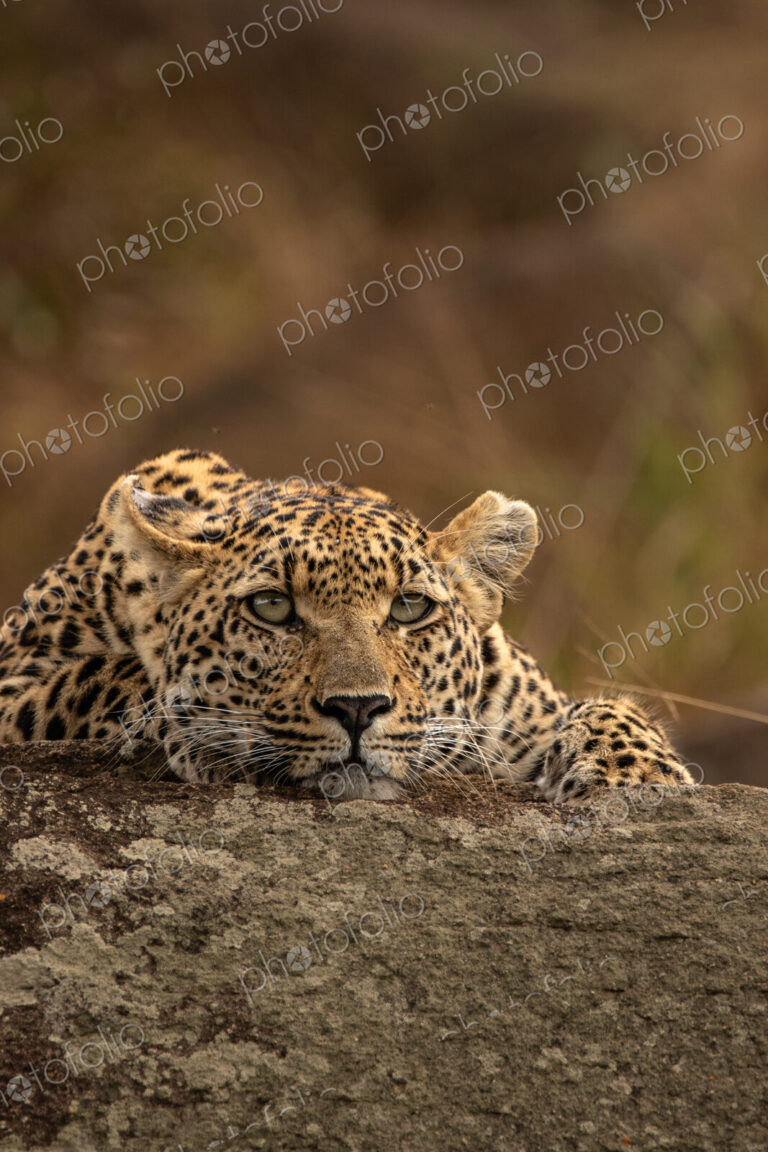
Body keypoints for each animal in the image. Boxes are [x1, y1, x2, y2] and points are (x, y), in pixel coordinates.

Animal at [0, 448, 696, 803]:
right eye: (272, 607)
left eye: (410, 608)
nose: (358, 709)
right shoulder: (16, 680)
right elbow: (110, 677)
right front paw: (199, 734)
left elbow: (608, 708)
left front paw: (636, 778)